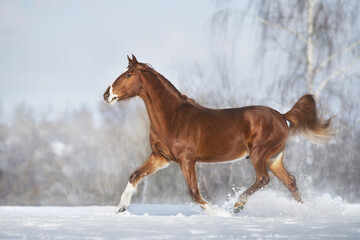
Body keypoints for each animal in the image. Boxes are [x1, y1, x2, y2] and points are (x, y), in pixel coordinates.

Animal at [102, 54, 334, 214]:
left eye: (129, 74)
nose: (106, 95)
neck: (173, 118)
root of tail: (282, 116)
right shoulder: (161, 157)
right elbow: (134, 175)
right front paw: (121, 207)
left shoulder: (187, 160)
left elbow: (194, 193)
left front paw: (219, 212)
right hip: (274, 158)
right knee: (291, 181)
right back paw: (303, 211)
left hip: (259, 153)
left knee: (263, 179)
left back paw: (238, 204)